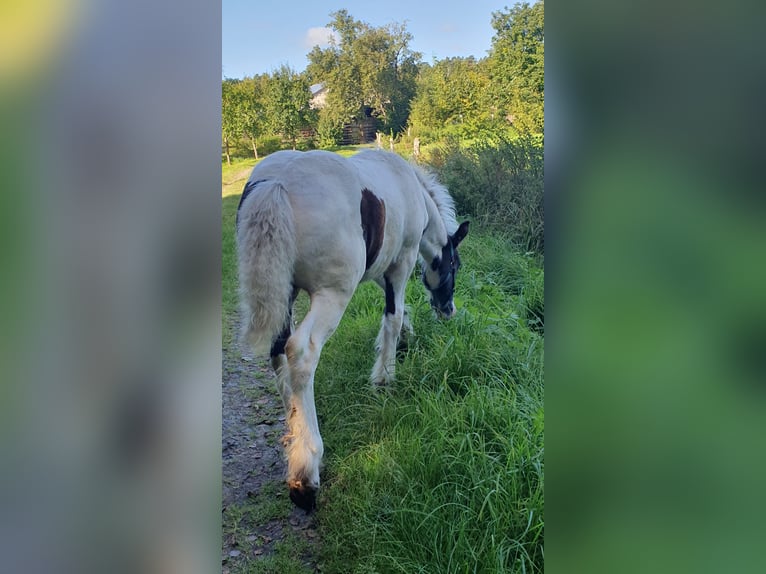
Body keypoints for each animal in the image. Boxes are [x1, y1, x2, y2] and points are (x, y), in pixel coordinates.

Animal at [237, 150, 472, 512]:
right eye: (453, 264)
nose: (448, 310)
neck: (411, 189)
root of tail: (275, 182)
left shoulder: (380, 266)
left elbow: (396, 309)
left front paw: (405, 338)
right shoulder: (401, 261)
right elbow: (393, 313)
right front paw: (385, 376)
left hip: (285, 294)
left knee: (278, 355)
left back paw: (295, 442)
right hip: (332, 294)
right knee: (301, 353)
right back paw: (306, 472)